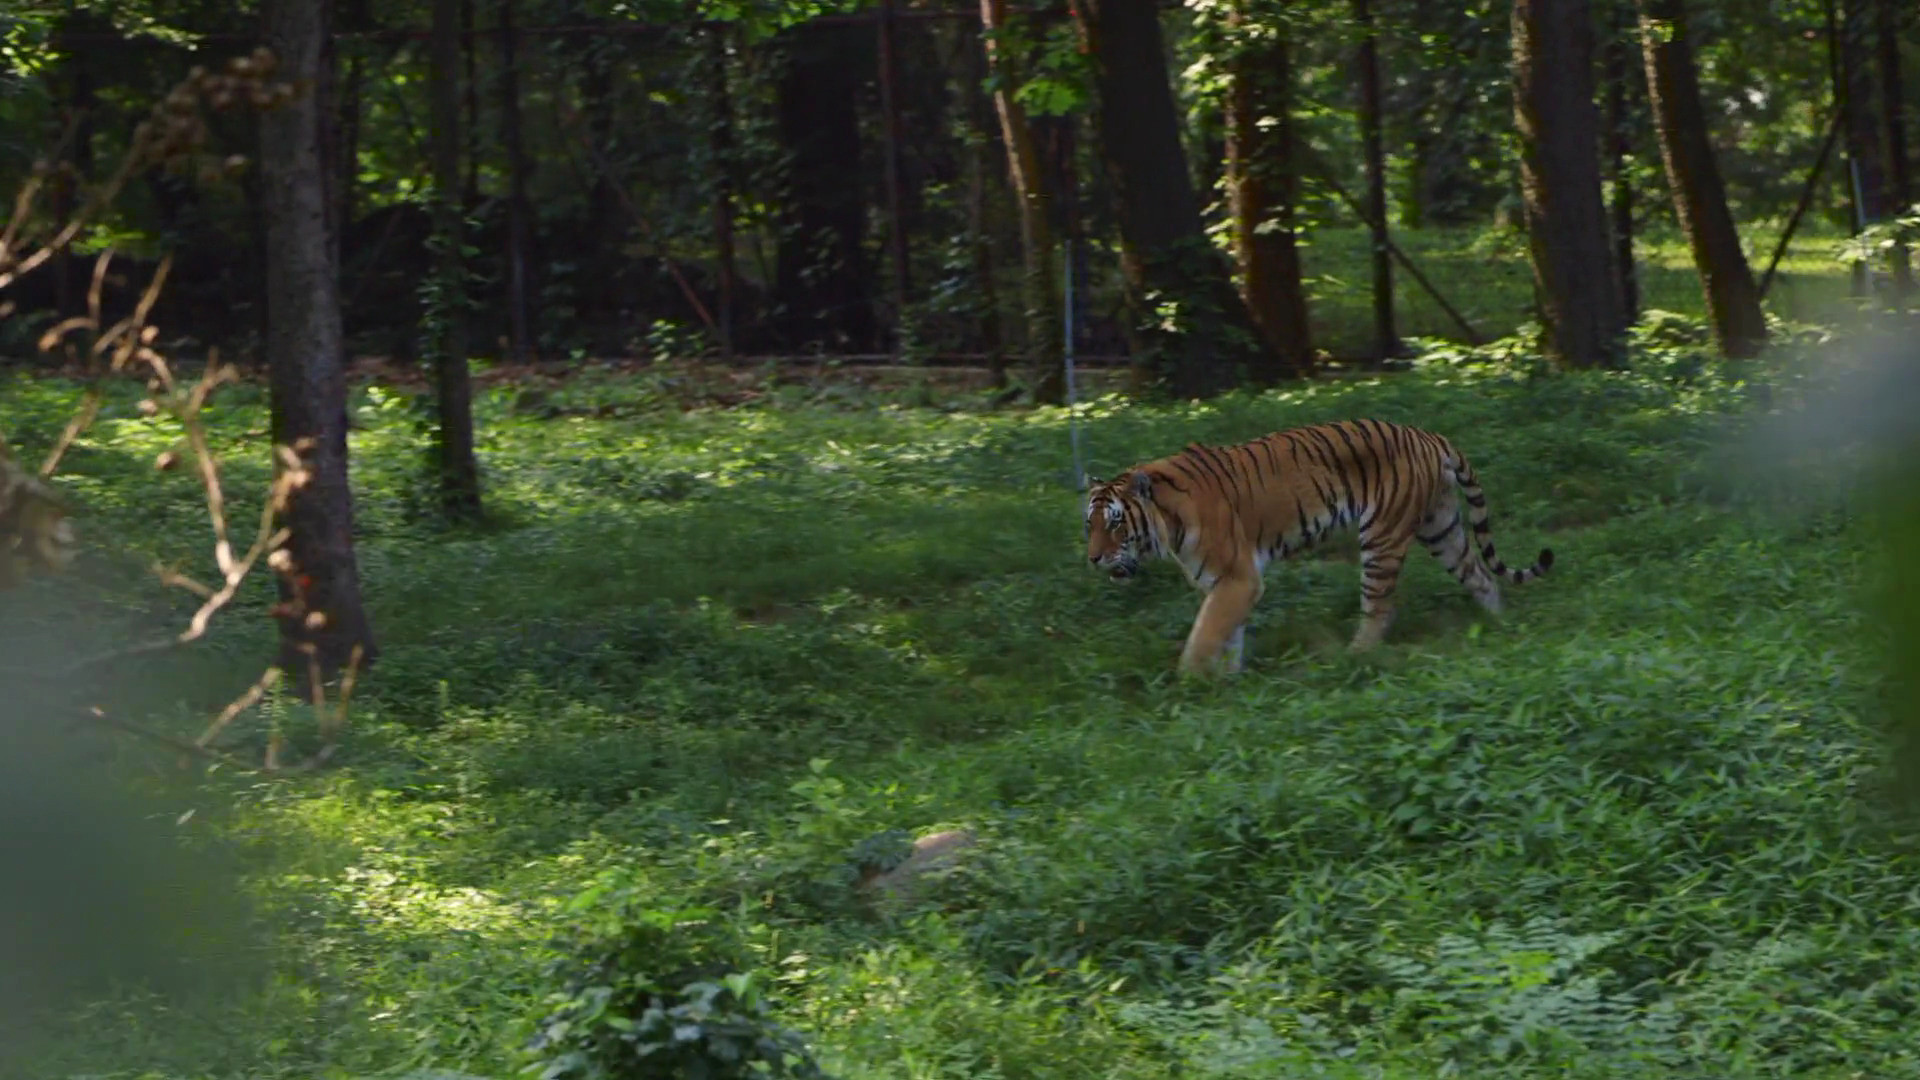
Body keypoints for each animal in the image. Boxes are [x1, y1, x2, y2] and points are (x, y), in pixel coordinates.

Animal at [1083, 419, 1553, 675]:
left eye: (1117, 523)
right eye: (1090, 524)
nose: (1093, 558)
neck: (1166, 527)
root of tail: (1427, 434)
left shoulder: (1238, 578)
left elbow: (1204, 636)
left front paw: (1189, 684)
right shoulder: (1226, 584)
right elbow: (1226, 636)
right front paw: (1225, 684)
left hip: (1381, 537)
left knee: (1380, 607)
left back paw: (1353, 657)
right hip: (1441, 528)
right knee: (1482, 576)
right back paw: (1500, 626)